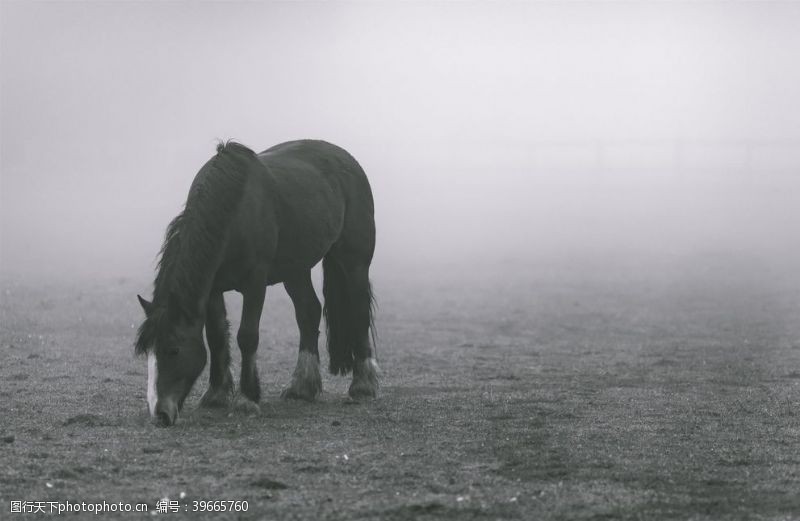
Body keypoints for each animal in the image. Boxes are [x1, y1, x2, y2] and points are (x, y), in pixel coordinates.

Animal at [134, 140, 378, 424]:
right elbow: (216, 336)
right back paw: (302, 387)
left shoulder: (255, 283)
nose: (159, 413)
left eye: (173, 350)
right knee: (309, 312)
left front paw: (247, 398)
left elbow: (247, 336)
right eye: (148, 352)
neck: (233, 213)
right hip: (295, 270)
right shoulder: (212, 289)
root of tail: (347, 160)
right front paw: (216, 394)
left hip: (354, 262)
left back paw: (363, 384)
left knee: (359, 311)